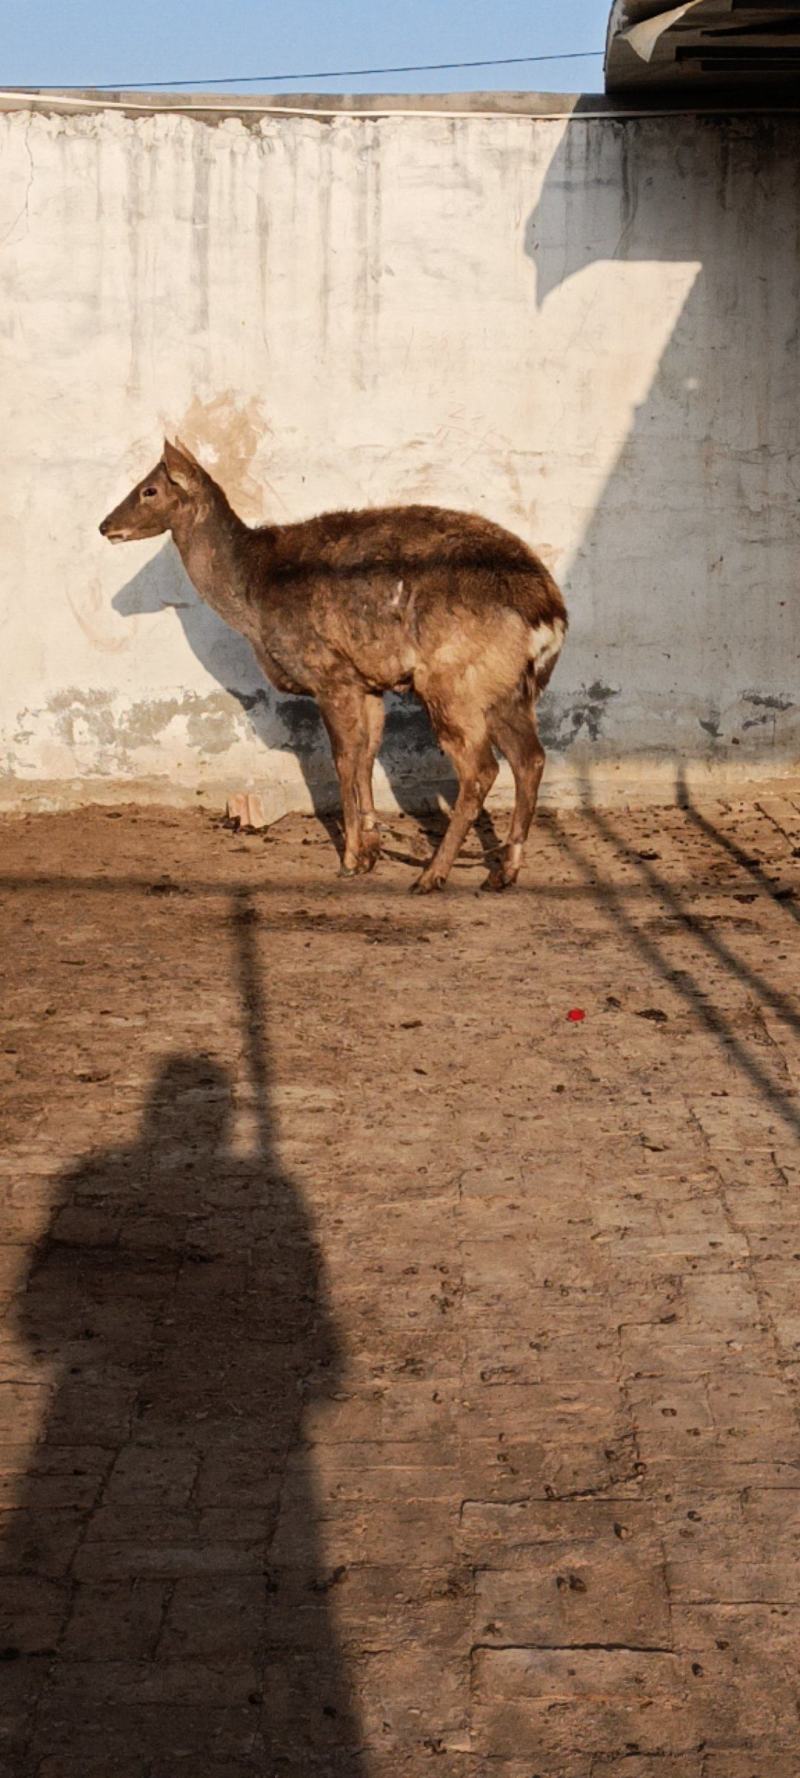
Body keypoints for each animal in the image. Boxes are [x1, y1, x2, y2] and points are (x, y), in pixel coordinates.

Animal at [99, 439, 567, 892]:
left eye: (149, 489)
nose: (105, 526)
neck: (253, 594)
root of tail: (548, 613)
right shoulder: (367, 682)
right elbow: (365, 755)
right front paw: (371, 850)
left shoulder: (328, 674)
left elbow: (342, 759)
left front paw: (350, 860)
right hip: (509, 691)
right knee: (530, 758)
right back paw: (503, 873)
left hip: (455, 683)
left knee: (482, 770)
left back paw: (432, 875)